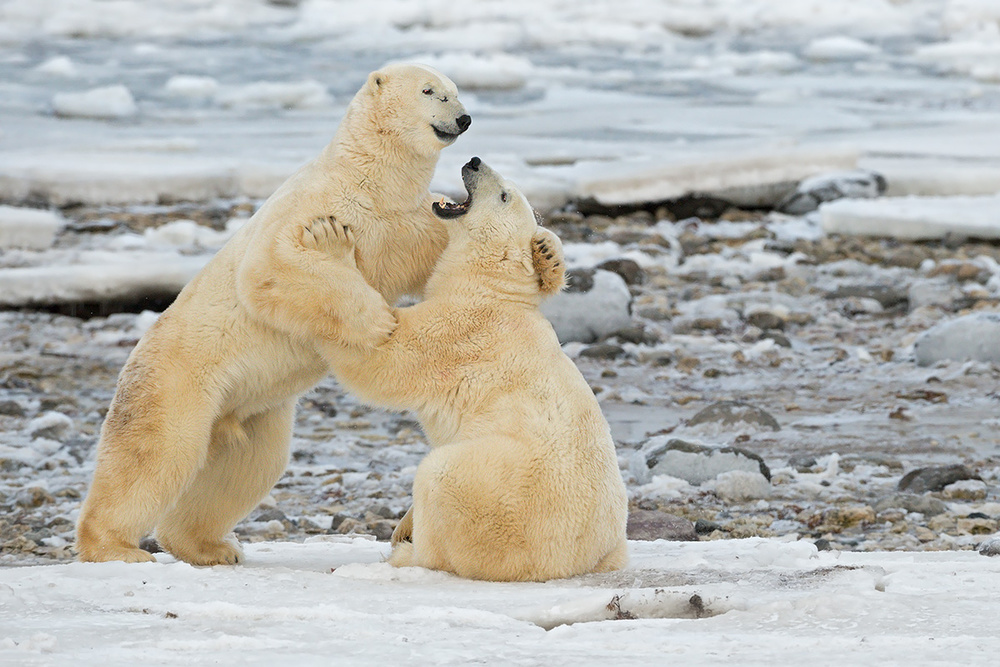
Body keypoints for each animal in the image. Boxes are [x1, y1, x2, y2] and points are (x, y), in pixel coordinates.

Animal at [76, 62, 478, 568]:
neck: (370, 180)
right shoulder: (319, 208)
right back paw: (116, 547)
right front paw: (377, 322)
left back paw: (211, 546)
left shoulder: (409, 223)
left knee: (246, 468)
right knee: (155, 453)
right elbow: (272, 266)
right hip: (176, 382)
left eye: (455, 91)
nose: (464, 118)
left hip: (253, 410)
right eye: (430, 91)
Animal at [320, 159, 628, 580]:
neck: (490, 287)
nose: (474, 161)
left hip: (500, 492)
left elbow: (384, 359)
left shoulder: (458, 331)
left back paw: (408, 552)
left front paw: (329, 248)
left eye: (503, 195)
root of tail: (581, 560)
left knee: (440, 480)